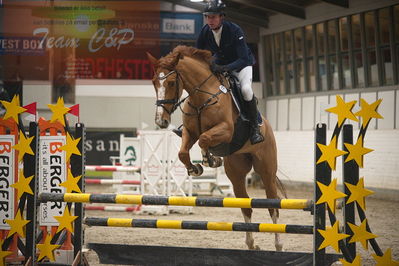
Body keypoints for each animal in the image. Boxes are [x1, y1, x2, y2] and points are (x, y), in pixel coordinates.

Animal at [148, 45, 284, 251]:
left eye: (171, 83)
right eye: (155, 82)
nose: (160, 121)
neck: (200, 96)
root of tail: (267, 126)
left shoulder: (225, 130)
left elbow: (204, 139)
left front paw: (210, 159)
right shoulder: (189, 133)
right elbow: (183, 152)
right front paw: (195, 168)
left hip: (266, 170)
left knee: (272, 206)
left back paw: (278, 244)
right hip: (236, 173)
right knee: (246, 206)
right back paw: (251, 244)